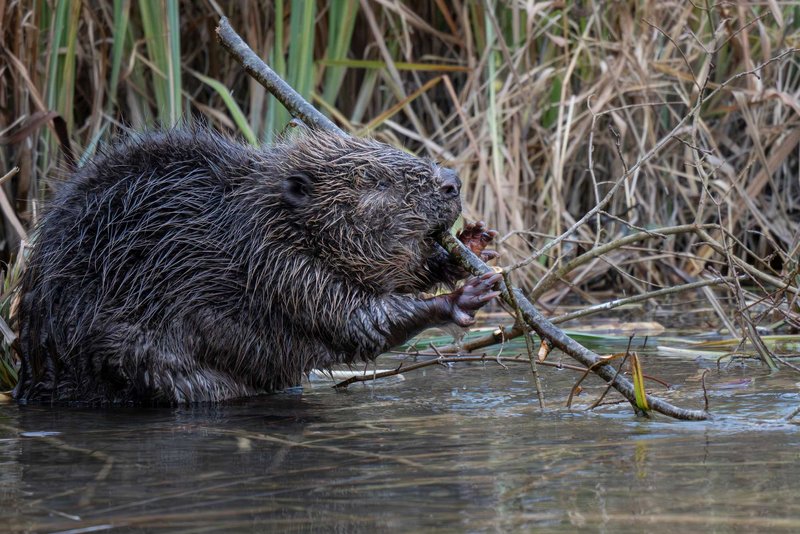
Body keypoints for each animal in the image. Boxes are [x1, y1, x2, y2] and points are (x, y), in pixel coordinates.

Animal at [10, 129, 500, 406]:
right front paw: (463, 298)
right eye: (376, 182)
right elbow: (355, 320)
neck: (251, 213)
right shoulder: (275, 264)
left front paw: (473, 244)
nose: (452, 181)